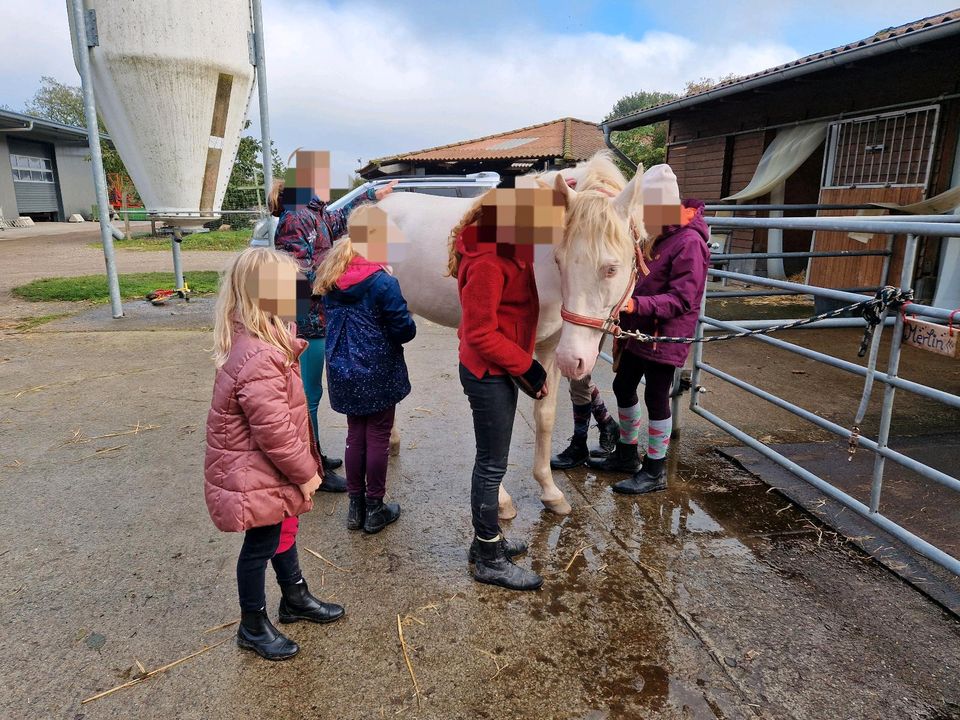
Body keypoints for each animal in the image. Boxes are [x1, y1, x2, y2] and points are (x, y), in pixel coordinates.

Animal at [376, 153, 644, 516]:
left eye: (612, 268)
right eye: (561, 260)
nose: (574, 360)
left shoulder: (549, 349)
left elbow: (544, 418)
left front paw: (549, 491)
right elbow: (499, 424)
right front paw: (501, 500)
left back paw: (391, 439)